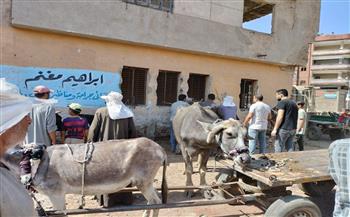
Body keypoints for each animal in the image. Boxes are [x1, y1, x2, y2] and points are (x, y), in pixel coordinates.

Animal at [3, 137, 168, 217]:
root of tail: (159, 148)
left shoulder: (56, 194)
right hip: (146, 183)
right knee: (152, 202)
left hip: (143, 182)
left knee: (156, 202)